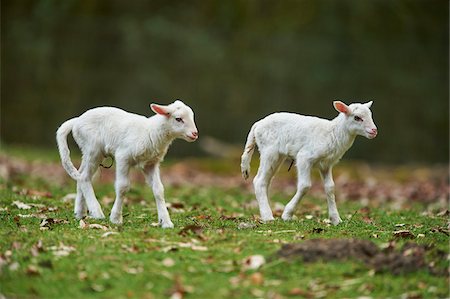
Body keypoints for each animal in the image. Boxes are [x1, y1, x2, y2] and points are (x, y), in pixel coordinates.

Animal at [55, 99, 198, 229]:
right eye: (178, 119)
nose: (195, 134)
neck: (150, 131)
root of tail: (77, 120)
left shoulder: (151, 163)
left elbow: (158, 189)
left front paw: (166, 222)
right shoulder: (123, 156)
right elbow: (123, 186)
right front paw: (116, 218)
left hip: (88, 151)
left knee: (81, 175)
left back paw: (80, 213)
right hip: (93, 148)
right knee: (84, 177)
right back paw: (97, 212)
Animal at [241, 101, 378, 225]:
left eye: (370, 115)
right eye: (357, 118)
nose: (374, 130)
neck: (332, 133)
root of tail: (257, 124)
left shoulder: (326, 165)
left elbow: (330, 188)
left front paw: (336, 219)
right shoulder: (304, 157)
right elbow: (305, 185)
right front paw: (287, 214)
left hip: (277, 156)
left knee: (266, 181)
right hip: (269, 151)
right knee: (259, 181)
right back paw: (268, 217)